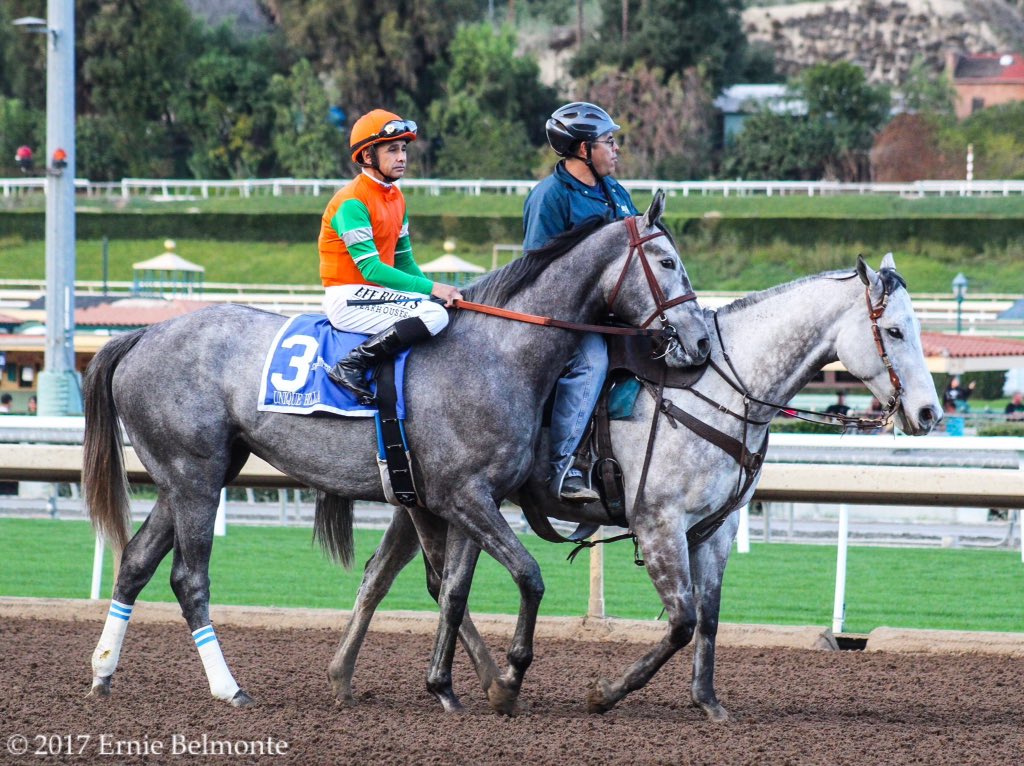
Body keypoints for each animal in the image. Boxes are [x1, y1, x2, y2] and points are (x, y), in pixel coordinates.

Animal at [83, 191, 708, 712]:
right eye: (668, 262)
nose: (699, 340)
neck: (498, 353)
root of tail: (140, 335)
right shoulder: (464, 497)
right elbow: (528, 576)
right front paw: (508, 678)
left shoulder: (463, 500)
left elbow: (453, 589)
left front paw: (448, 687)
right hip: (195, 476)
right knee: (190, 580)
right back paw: (227, 687)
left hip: (189, 476)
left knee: (135, 563)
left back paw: (104, 672)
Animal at [331, 253, 937, 720]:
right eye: (894, 330)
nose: (929, 413)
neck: (717, 388)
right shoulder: (658, 525)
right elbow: (682, 621)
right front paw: (605, 693)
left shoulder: (715, 531)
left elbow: (709, 617)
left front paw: (708, 700)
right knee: (425, 581)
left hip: (422, 500)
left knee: (389, 576)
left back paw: (352, 676)